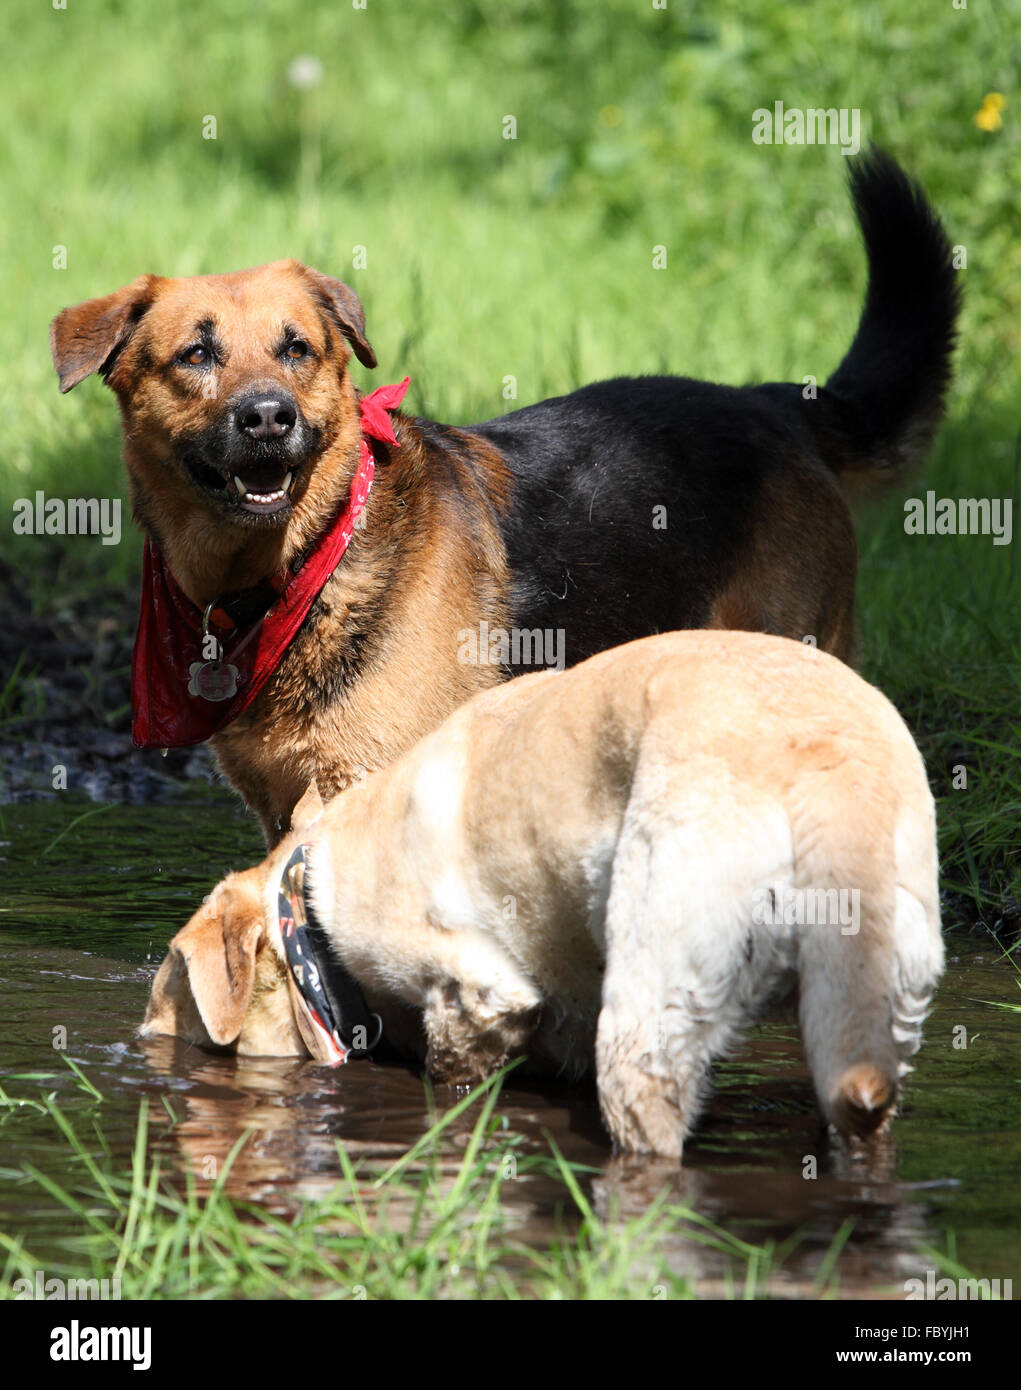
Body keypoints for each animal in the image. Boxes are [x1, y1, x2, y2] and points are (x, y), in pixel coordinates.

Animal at [47, 152, 955, 845]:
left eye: (296, 349)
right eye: (196, 355)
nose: (270, 418)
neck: (300, 567)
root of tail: (776, 404)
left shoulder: (363, 789)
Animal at [141, 636, 944, 1156]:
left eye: (172, 997)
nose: (144, 1043)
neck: (306, 902)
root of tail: (827, 768)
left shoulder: (475, 996)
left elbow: (454, 1083)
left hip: (651, 1008)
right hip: (873, 1001)